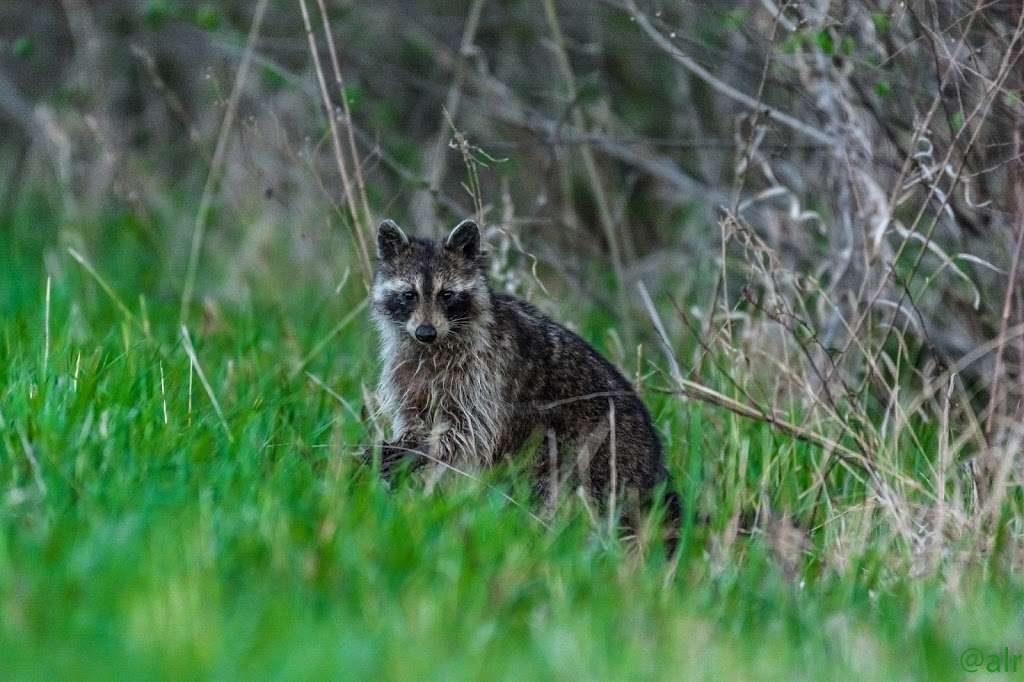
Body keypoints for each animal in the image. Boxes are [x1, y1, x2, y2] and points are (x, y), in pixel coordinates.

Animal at [368, 218, 679, 548]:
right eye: (409, 294)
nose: (425, 332)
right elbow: (414, 415)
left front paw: (423, 449)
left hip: (596, 454)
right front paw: (407, 444)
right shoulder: (405, 367)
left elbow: (471, 430)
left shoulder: (484, 373)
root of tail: (652, 471)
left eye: (447, 295)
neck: (434, 346)